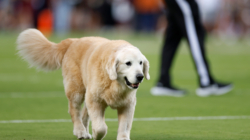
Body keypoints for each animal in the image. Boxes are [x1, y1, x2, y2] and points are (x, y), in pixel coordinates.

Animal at [17, 28, 150, 140]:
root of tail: (74, 41)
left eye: (140, 63)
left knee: (84, 115)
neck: (114, 82)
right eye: (128, 63)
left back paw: (85, 132)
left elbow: (124, 127)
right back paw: (80, 132)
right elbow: (101, 127)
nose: (140, 76)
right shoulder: (95, 100)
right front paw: (96, 134)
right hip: (77, 91)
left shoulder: (127, 104)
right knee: (74, 111)